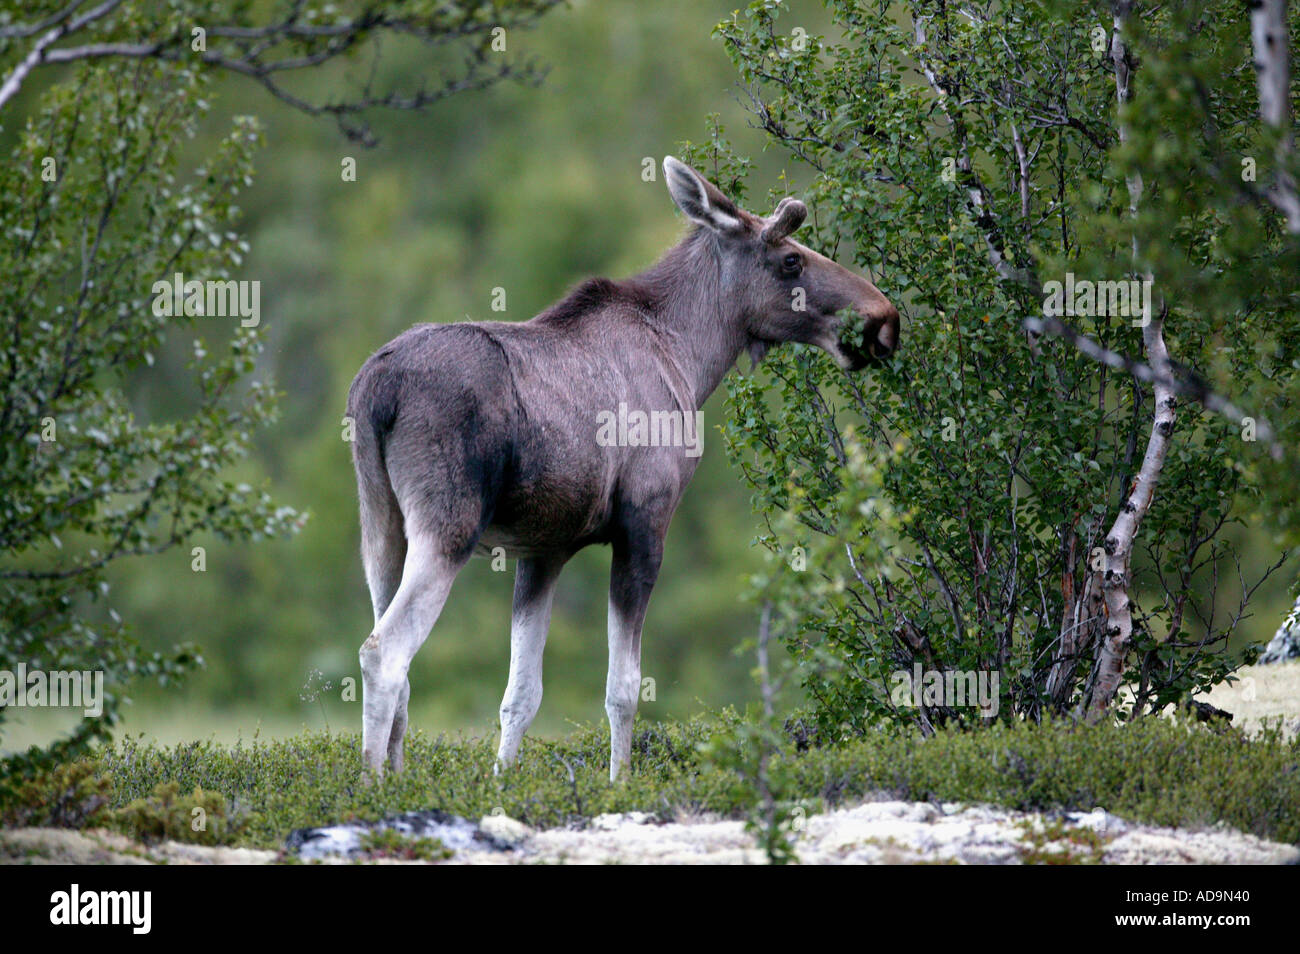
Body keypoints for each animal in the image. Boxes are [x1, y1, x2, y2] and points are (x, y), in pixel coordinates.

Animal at [345, 158, 899, 785]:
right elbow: (624, 688)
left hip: (381, 527)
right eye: (791, 260)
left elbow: (521, 694)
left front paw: (502, 783)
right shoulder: (644, 522)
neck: (692, 359)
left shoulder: (544, 549)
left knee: (397, 658)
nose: (883, 320)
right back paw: (371, 786)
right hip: (448, 525)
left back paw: (396, 776)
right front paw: (619, 783)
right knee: (384, 653)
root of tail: (377, 390)